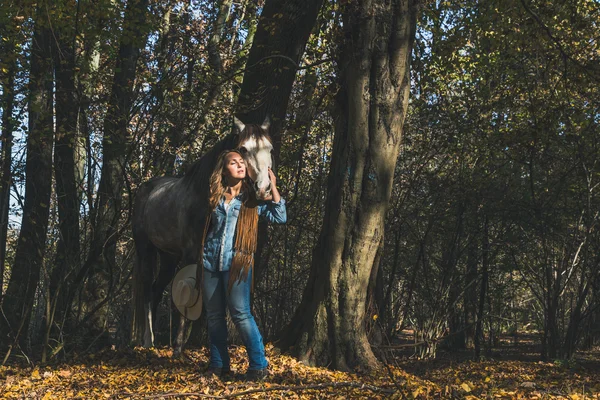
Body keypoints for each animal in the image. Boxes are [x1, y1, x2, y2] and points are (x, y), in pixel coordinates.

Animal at [132, 117, 274, 352]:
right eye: (243, 149)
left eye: (269, 148)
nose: (263, 189)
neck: (204, 196)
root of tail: (145, 189)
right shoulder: (191, 254)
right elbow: (188, 294)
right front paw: (178, 348)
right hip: (145, 249)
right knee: (146, 289)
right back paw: (147, 340)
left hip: (169, 257)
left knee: (155, 289)